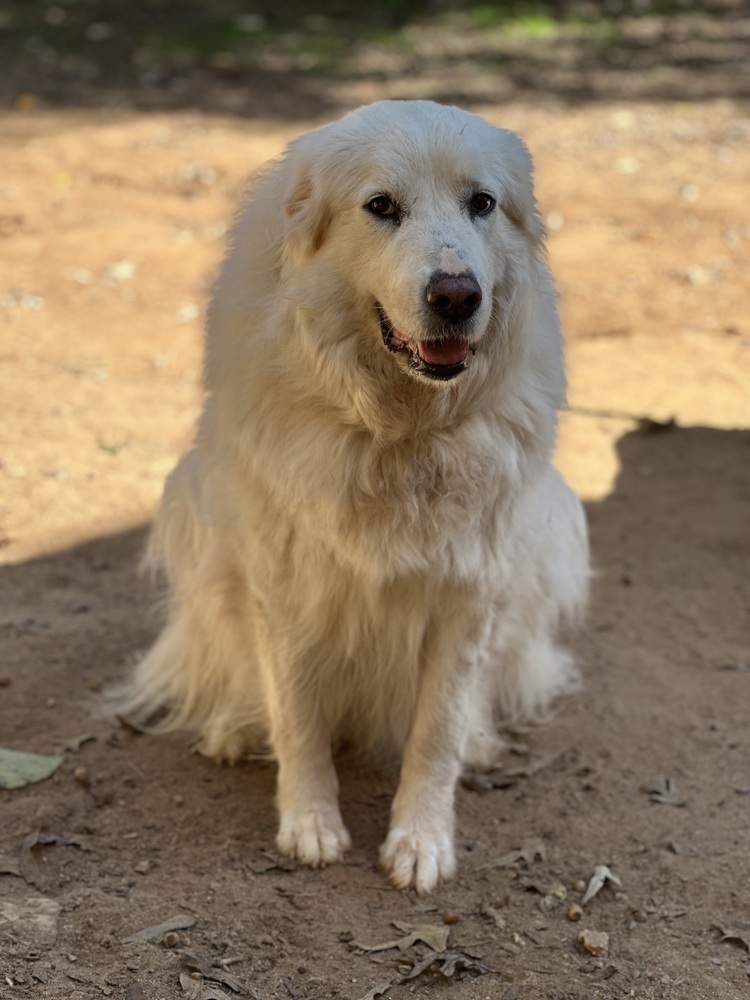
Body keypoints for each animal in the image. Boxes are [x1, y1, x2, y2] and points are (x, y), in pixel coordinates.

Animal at [122, 101, 588, 896]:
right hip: (198, 524)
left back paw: (482, 741)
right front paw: (310, 823)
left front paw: (421, 841)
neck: (398, 431)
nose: (457, 295)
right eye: (381, 207)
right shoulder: (282, 584)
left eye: (481, 203)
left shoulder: (469, 591)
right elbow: (297, 715)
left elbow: (436, 730)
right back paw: (234, 726)